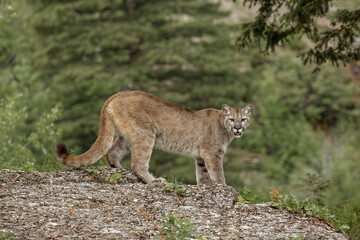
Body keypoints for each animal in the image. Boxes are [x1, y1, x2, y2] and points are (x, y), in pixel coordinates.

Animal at [56, 91, 253, 185]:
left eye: (243, 119)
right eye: (232, 119)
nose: (238, 128)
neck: (224, 127)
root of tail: (117, 94)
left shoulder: (200, 157)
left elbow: (203, 176)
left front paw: (205, 188)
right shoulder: (212, 153)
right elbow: (218, 174)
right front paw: (225, 188)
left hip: (127, 137)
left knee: (112, 153)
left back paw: (120, 170)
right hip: (145, 133)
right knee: (137, 163)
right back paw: (153, 180)